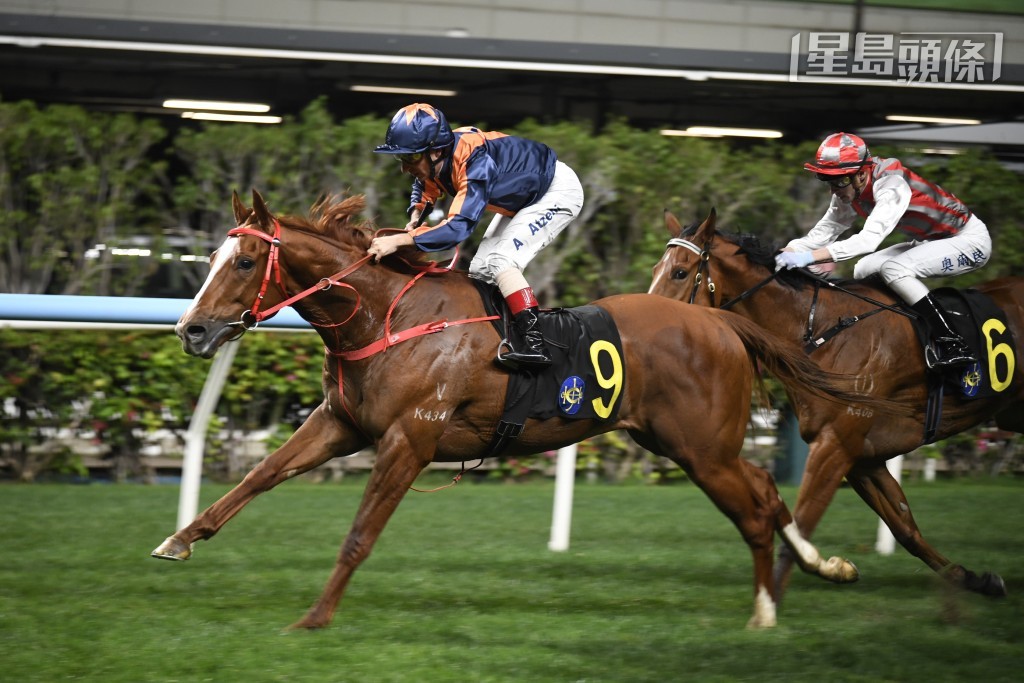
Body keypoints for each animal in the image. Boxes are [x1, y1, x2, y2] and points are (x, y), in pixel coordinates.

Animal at [151, 190, 896, 630]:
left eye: (244, 261)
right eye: (214, 253)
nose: (191, 330)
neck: (390, 315)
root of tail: (720, 322)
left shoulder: (408, 440)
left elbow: (360, 532)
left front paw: (314, 617)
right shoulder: (342, 424)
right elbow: (260, 474)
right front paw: (179, 538)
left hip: (702, 448)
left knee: (757, 507)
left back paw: (768, 609)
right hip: (681, 444)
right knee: (767, 490)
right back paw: (814, 572)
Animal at [649, 208, 1024, 600]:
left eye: (680, 272)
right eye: (656, 268)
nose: (650, 319)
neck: (821, 330)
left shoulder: (836, 443)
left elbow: (800, 524)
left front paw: (775, 597)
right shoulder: (863, 457)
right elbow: (904, 526)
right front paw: (974, 579)